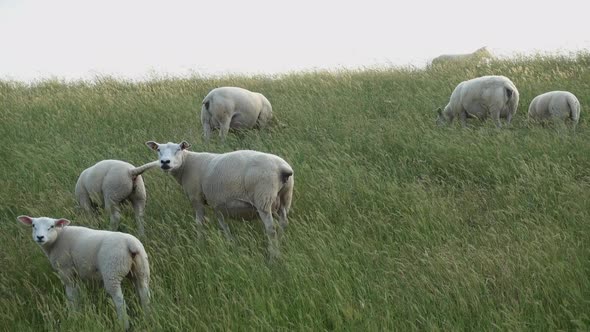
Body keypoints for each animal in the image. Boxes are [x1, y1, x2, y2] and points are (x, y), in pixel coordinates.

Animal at [17, 215, 150, 330]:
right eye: (33, 225)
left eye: (51, 226)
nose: (40, 237)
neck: (57, 239)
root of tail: (130, 244)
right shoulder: (76, 273)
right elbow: (78, 293)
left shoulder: (66, 270)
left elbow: (71, 294)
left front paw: (72, 315)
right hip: (141, 269)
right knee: (144, 294)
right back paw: (147, 316)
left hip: (112, 270)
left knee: (119, 300)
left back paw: (124, 325)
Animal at [146, 140, 294, 260]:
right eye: (158, 150)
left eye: (178, 149)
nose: (165, 162)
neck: (187, 164)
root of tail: (283, 168)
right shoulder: (217, 204)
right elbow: (223, 224)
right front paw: (231, 242)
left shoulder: (196, 197)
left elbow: (199, 223)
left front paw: (200, 243)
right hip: (285, 198)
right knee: (283, 223)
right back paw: (280, 246)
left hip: (263, 199)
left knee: (271, 229)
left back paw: (272, 256)